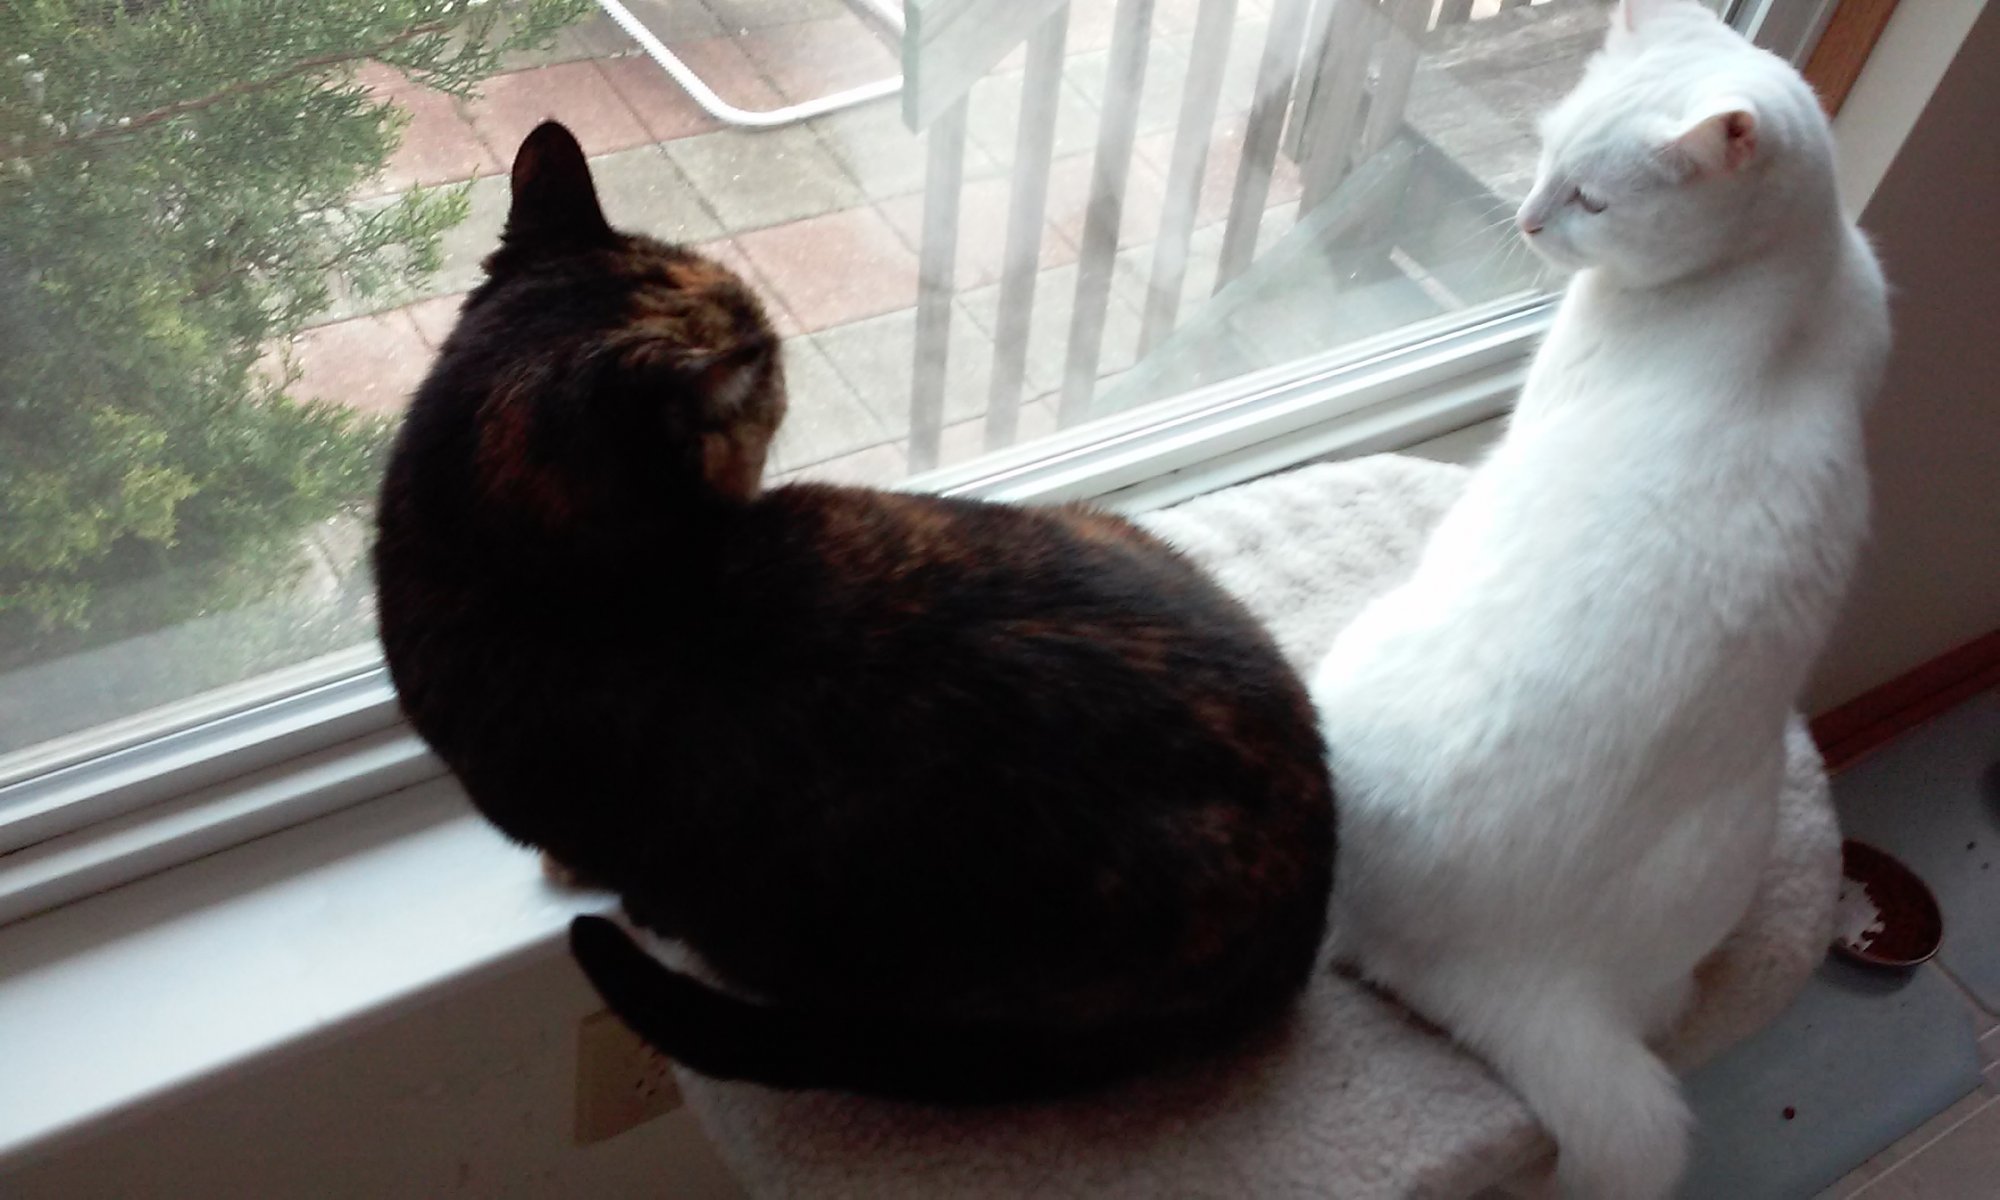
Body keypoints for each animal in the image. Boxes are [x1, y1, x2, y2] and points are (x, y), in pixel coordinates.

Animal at [1312, 4, 1888, 1192]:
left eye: (1592, 198)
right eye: (1542, 154)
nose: (1530, 218)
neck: (1792, 280)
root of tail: (1536, 974)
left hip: (1363, 649)